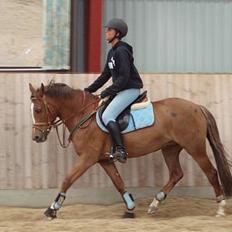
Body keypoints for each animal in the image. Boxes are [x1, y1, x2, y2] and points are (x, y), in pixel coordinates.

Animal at [29, 82, 232, 218]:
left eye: (38, 109)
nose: (36, 137)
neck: (83, 115)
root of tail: (196, 107)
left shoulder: (88, 158)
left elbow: (67, 179)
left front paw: (52, 209)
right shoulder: (104, 160)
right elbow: (118, 182)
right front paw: (130, 207)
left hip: (194, 148)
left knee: (211, 173)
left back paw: (220, 208)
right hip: (170, 148)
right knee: (176, 173)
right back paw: (154, 204)